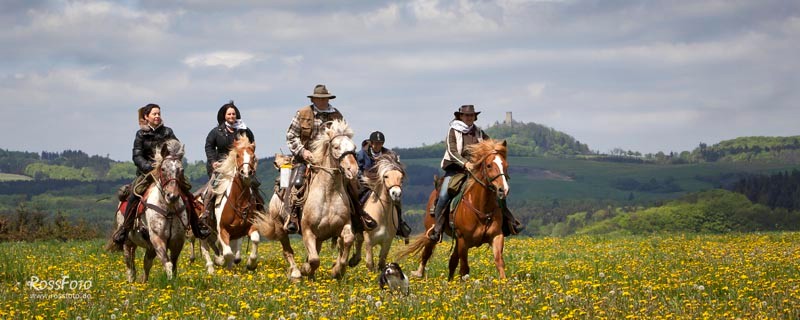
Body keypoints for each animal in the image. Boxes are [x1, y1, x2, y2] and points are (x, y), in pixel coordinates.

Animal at [107, 140, 188, 282]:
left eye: (181, 170)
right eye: (163, 169)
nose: (172, 196)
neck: (169, 210)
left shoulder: (177, 242)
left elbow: (173, 265)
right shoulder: (157, 239)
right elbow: (168, 264)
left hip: (148, 248)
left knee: (146, 263)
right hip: (128, 242)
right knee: (130, 264)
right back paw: (131, 280)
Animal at [298, 120, 358, 280]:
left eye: (354, 148)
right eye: (336, 147)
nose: (353, 170)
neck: (328, 193)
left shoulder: (344, 225)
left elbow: (348, 240)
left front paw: (337, 270)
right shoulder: (307, 231)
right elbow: (314, 260)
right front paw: (305, 270)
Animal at [396, 139, 510, 280]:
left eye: (506, 165)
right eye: (489, 165)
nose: (503, 190)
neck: (481, 208)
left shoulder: (496, 236)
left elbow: (499, 262)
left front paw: (503, 283)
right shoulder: (463, 240)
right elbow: (464, 268)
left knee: (452, 261)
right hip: (432, 233)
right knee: (427, 253)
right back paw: (419, 273)